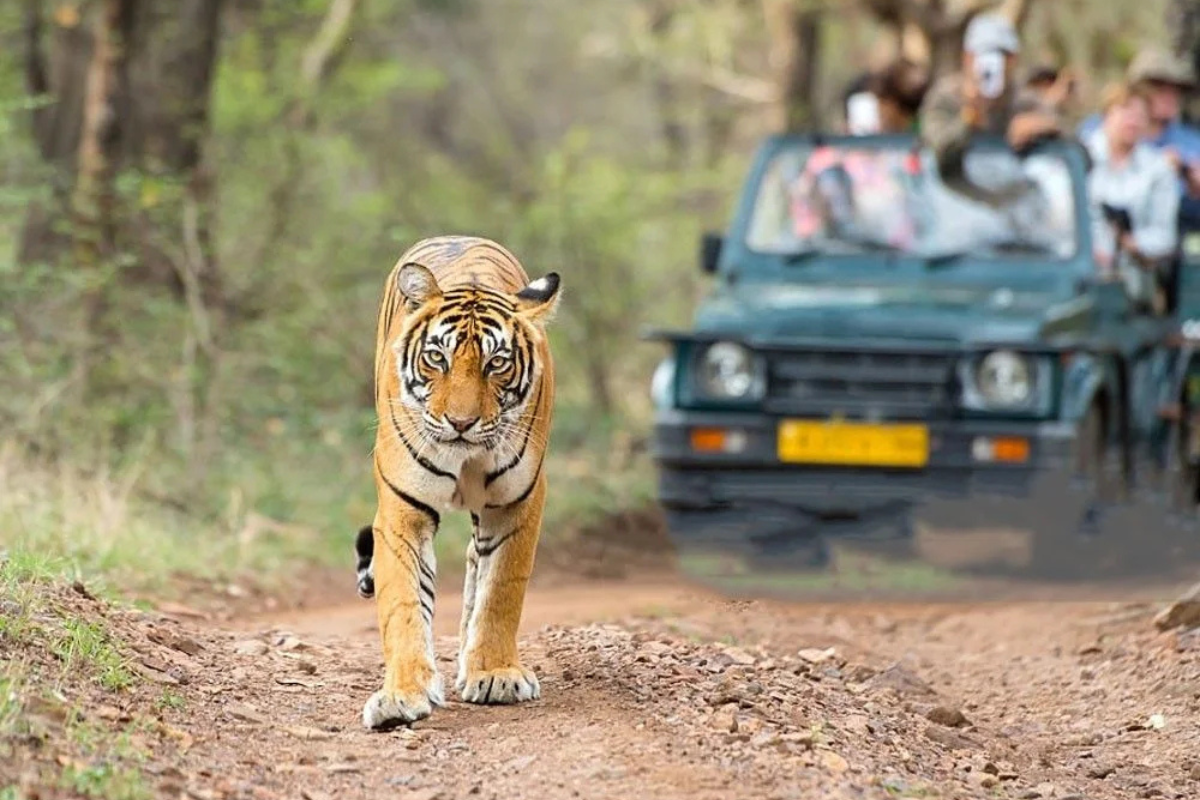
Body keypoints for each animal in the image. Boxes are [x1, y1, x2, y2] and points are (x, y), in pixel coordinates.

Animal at [354, 235, 560, 731]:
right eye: (437, 358)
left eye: (497, 363)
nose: (461, 423)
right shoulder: (402, 510)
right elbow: (404, 603)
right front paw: (401, 695)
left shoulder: (517, 503)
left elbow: (501, 589)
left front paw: (495, 674)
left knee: (475, 563)